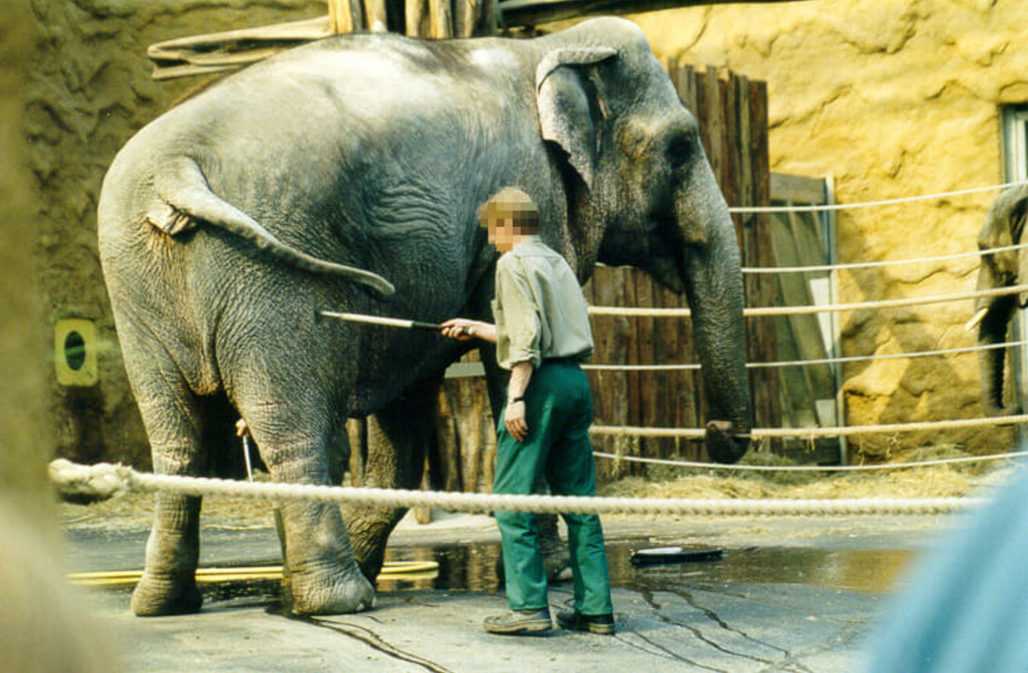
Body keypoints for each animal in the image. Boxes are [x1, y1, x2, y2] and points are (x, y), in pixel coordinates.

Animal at [98, 17, 748, 616]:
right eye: (680, 147)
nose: (720, 436)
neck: (548, 46)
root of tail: (176, 169)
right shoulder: (527, 195)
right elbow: (507, 361)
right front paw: (556, 571)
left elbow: (408, 407)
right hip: (266, 285)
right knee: (290, 429)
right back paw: (338, 601)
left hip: (137, 283)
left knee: (177, 440)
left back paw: (165, 603)